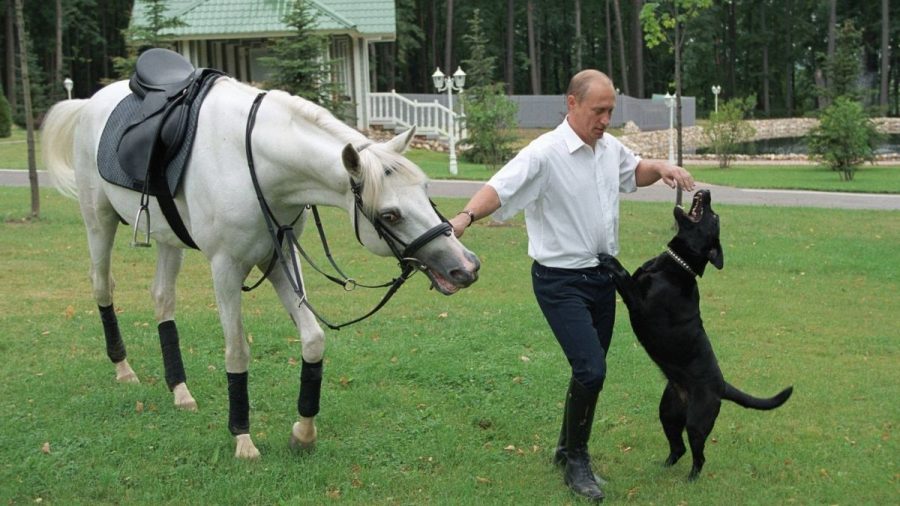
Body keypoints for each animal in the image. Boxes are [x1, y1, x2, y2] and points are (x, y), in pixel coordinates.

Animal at [44, 78, 478, 458]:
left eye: (426, 190)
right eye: (389, 215)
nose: (465, 267)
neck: (256, 166)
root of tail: (91, 103)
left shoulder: (278, 258)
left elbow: (313, 340)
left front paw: (303, 433)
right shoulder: (226, 269)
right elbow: (237, 352)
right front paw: (243, 439)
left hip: (169, 241)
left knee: (162, 300)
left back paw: (180, 390)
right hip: (98, 221)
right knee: (102, 286)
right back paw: (123, 369)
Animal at [600, 189, 792, 478]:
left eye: (714, 217)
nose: (708, 192)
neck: (676, 265)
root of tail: (722, 386)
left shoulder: (640, 304)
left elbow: (622, 276)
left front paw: (609, 260)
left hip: (697, 422)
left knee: (699, 456)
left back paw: (691, 479)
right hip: (667, 412)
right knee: (678, 448)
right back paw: (663, 468)